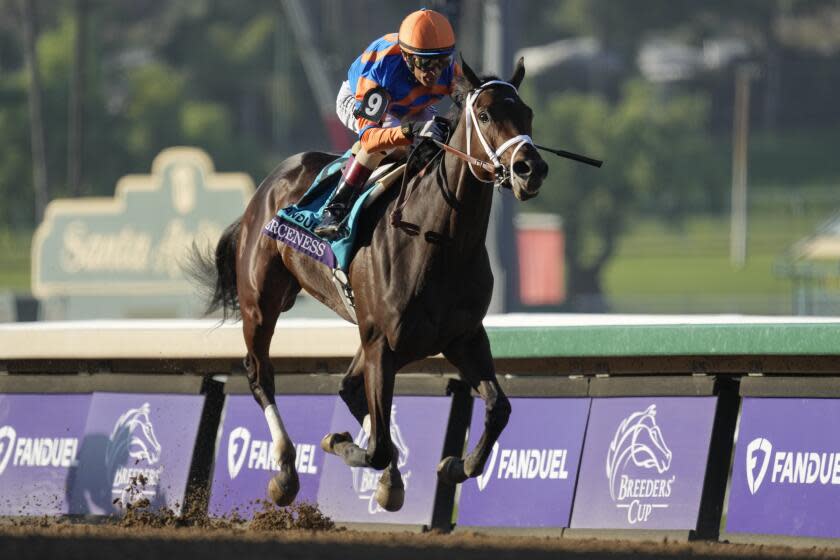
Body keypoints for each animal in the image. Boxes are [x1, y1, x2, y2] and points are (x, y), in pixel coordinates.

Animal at [188, 58, 548, 512]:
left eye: (528, 113)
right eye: (484, 115)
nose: (531, 169)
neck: (440, 240)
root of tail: (268, 184)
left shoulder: (462, 337)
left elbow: (499, 407)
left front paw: (456, 465)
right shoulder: (382, 343)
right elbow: (375, 446)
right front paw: (336, 441)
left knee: (350, 388)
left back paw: (388, 479)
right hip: (262, 302)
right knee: (260, 374)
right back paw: (286, 470)